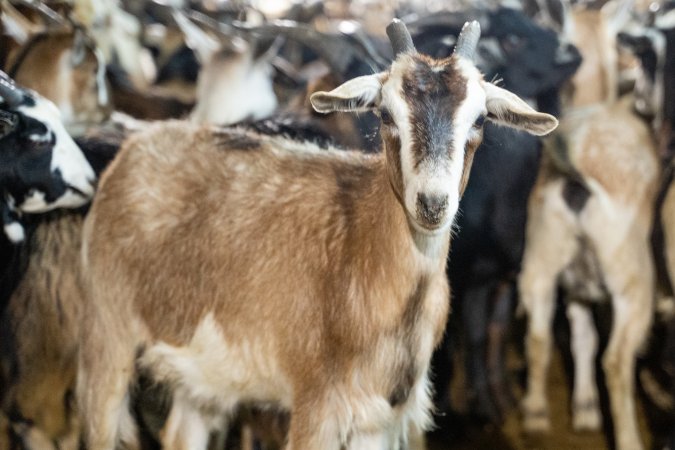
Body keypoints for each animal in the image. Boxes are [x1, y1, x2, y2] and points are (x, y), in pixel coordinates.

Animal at [516, 1, 660, 448]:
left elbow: (580, 339)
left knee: (539, 336)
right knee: (616, 359)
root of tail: (575, 172)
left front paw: (583, 409)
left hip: (541, 259)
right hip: (632, 279)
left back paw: (536, 416)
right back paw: (630, 438)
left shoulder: (577, 284)